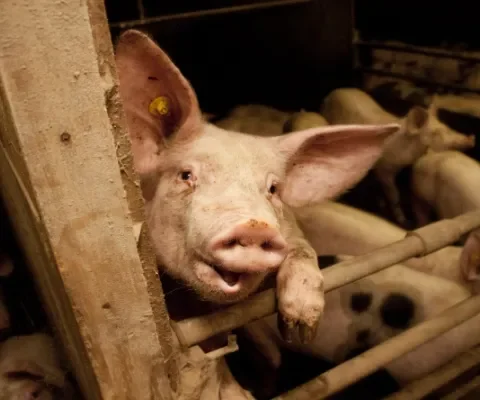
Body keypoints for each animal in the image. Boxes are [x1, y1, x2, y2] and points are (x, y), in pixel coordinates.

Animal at [320, 88, 474, 228]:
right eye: (435, 133)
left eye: (446, 127)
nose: (471, 138)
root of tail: (334, 91)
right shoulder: (385, 170)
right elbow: (394, 196)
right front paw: (404, 221)